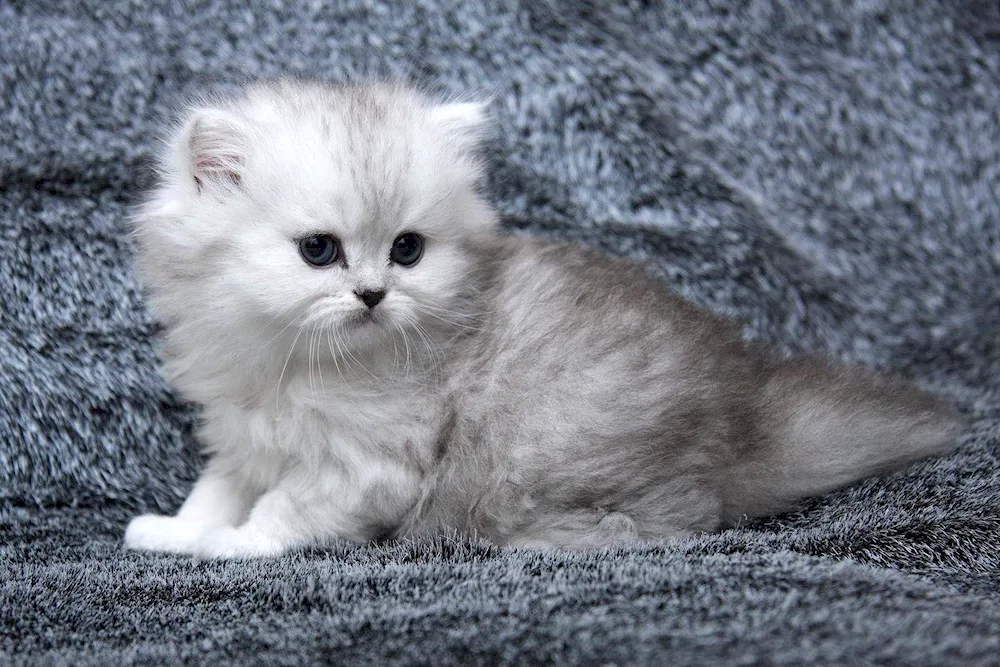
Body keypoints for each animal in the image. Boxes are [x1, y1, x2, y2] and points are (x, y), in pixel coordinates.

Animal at [125, 79, 960, 560]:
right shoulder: (246, 431)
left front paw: (229, 547)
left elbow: (277, 512)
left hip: (553, 451)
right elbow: (216, 488)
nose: (372, 294)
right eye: (319, 250)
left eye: (406, 249)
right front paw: (175, 533)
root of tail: (744, 413)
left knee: (665, 525)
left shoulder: (366, 467)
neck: (294, 358)